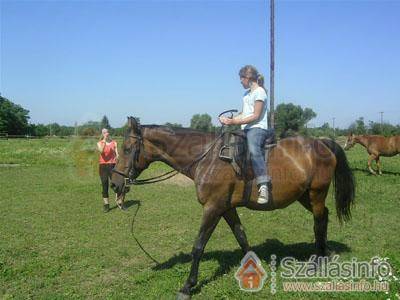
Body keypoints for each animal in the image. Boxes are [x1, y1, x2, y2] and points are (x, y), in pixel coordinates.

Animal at [111, 116, 354, 298]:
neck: (207, 158)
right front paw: (254, 267)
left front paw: (188, 286)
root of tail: (323, 143)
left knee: (319, 221)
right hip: (304, 196)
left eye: (126, 148)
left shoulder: (212, 208)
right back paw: (325, 253)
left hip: (316, 194)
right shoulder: (226, 209)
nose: (114, 183)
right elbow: (241, 236)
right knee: (324, 217)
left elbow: (198, 246)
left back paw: (318, 260)